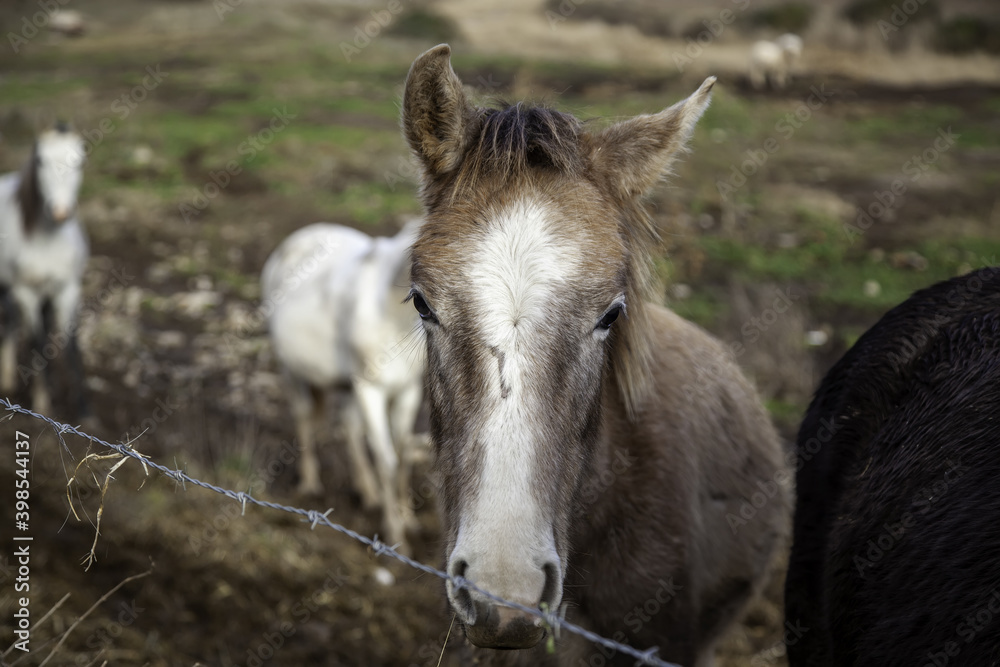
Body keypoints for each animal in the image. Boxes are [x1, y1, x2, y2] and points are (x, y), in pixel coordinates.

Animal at [0, 123, 89, 419]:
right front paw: (43, 403)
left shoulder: (68, 289)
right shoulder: (26, 292)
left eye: (81, 161)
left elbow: (71, 345)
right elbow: (38, 341)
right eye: (40, 160)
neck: (48, 238)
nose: (60, 211)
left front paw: (83, 408)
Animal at [261, 219, 426, 555]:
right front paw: (397, 539)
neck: (392, 314)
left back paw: (369, 493)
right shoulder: (371, 391)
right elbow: (387, 461)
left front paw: (409, 521)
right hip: (293, 373)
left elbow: (402, 456)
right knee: (304, 417)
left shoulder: (408, 391)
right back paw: (310, 485)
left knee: (348, 426)